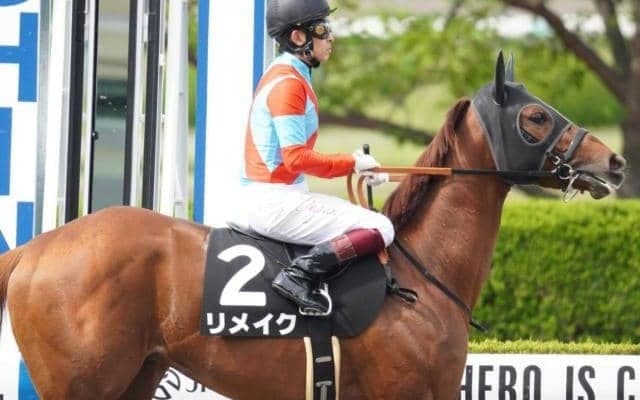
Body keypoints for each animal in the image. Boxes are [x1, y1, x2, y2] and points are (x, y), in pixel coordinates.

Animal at [0, 52, 626, 399]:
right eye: (535, 116)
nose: (615, 163)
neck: (420, 278)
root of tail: (36, 248)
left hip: (135, 377)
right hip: (82, 383)